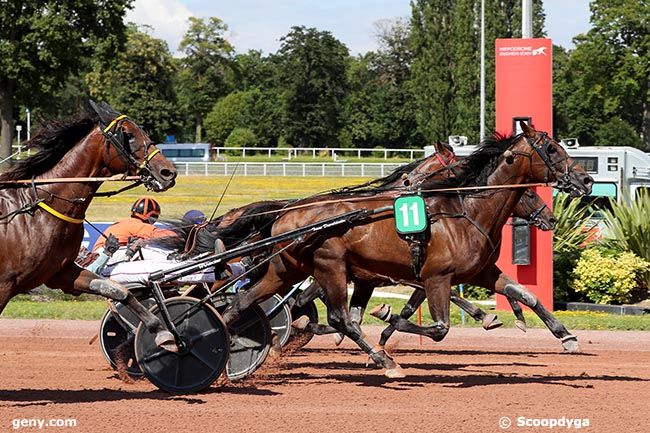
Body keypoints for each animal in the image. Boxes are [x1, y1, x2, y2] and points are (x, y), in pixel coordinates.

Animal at [0, 102, 178, 352]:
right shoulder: (4, 285)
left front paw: (162, 331)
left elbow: (118, 290)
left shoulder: (62, 273)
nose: (168, 171)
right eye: (128, 135)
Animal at [221, 123, 592, 376]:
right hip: (330, 268)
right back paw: (382, 359)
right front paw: (388, 320)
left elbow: (526, 295)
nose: (586, 180)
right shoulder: (435, 276)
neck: (465, 211)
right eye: (553, 149)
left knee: (246, 301)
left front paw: (565, 335)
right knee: (338, 317)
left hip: (287, 270)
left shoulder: (481, 272)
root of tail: (286, 212)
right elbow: (437, 327)